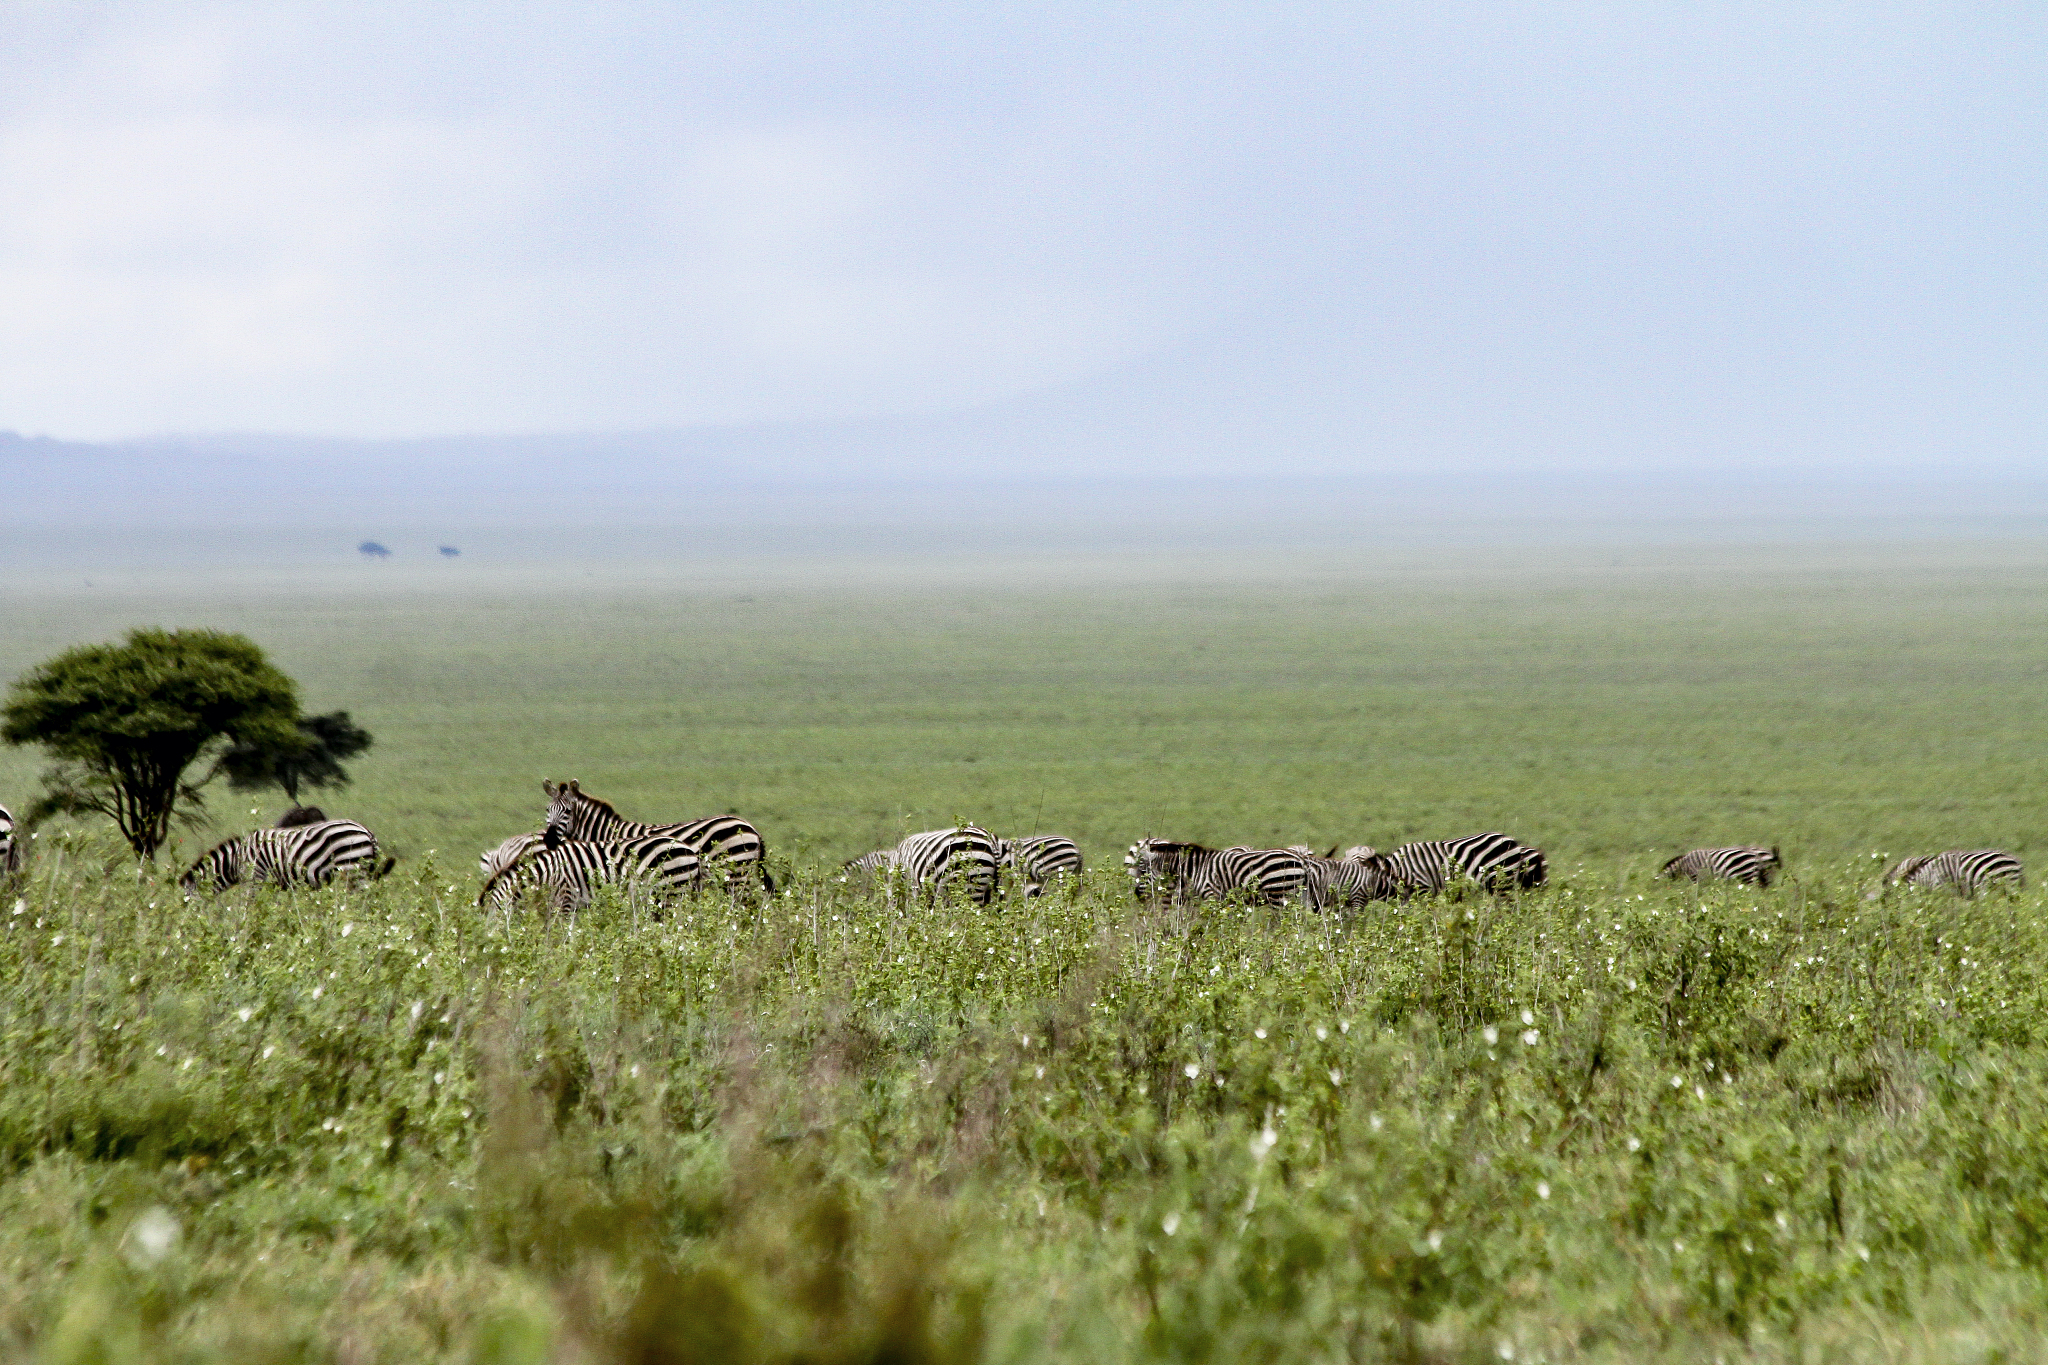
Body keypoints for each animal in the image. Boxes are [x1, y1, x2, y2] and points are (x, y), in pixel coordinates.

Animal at [181, 819, 390, 892]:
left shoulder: (255, 877)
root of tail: (366, 832)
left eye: (187, 901)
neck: (236, 859)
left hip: (352, 868)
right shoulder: (274, 883)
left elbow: (249, 908)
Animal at [541, 780, 773, 892]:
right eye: (547, 810)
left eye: (567, 812)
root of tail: (751, 827)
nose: (549, 840)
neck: (608, 832)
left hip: (735, 873)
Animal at [1124, 839, 1308, 908]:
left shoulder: (1211, 895)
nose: (1137, 895)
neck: (1196, 868)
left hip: (1278, 894)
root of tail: (1301, 859)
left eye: (1143, 871)